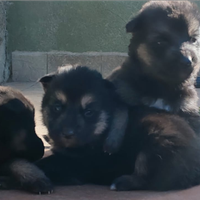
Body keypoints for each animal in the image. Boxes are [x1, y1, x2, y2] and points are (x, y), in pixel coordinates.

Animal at [34, 65, 200, 191]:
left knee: (153, 179)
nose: (67, 133)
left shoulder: (83, 162)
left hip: (158, 138)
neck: (103, 127)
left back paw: (121, 182)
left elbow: (49, 163)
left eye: (89, 112)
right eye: (57, 108)